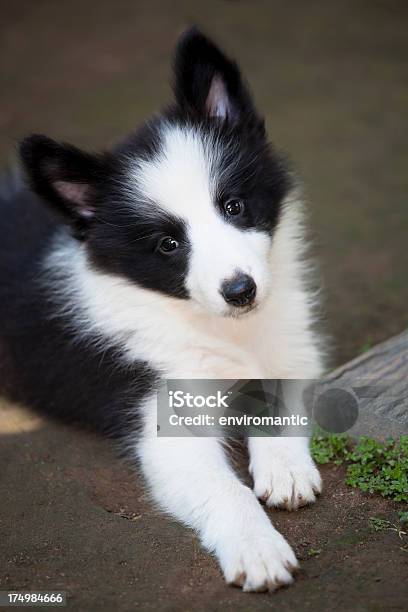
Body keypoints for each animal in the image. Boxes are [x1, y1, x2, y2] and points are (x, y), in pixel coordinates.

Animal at [1, 28, 324, 592]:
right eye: (168, 244)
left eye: (234, 206)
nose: (240, 291)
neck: (220, 329)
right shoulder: (163, 413)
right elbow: (225, 489)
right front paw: (258, 550)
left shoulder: (291, 343)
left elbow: (278, 395)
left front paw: (285, 469)